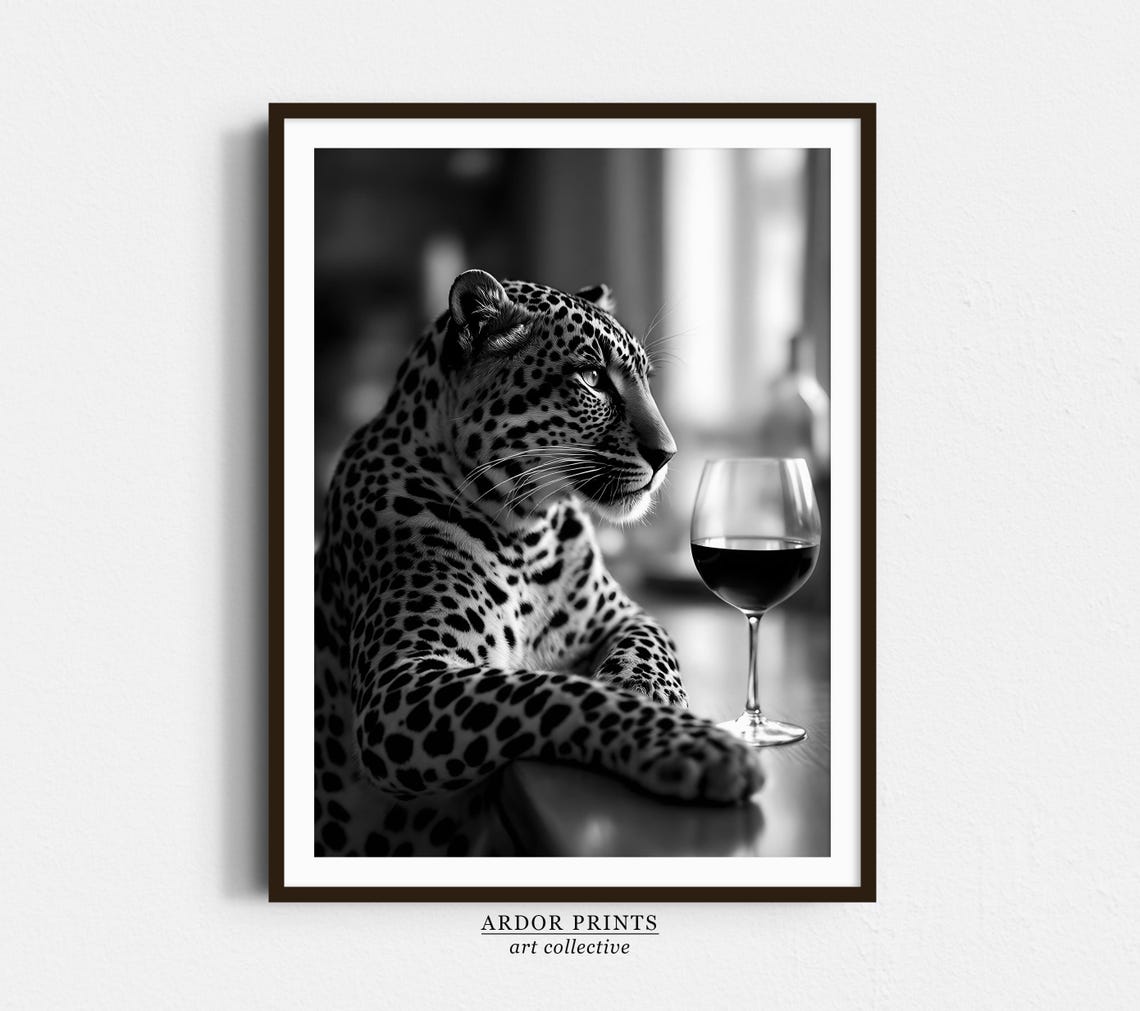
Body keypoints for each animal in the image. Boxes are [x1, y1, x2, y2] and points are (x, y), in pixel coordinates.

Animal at [314, 269, 763, 856]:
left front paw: (656, 695)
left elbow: (653, 649)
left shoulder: (626, 614)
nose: (667, 455)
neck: (527, 535)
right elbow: (557, 690)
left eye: (645, 378)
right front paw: (694, 745)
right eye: (592, 377)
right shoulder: (398, 685)